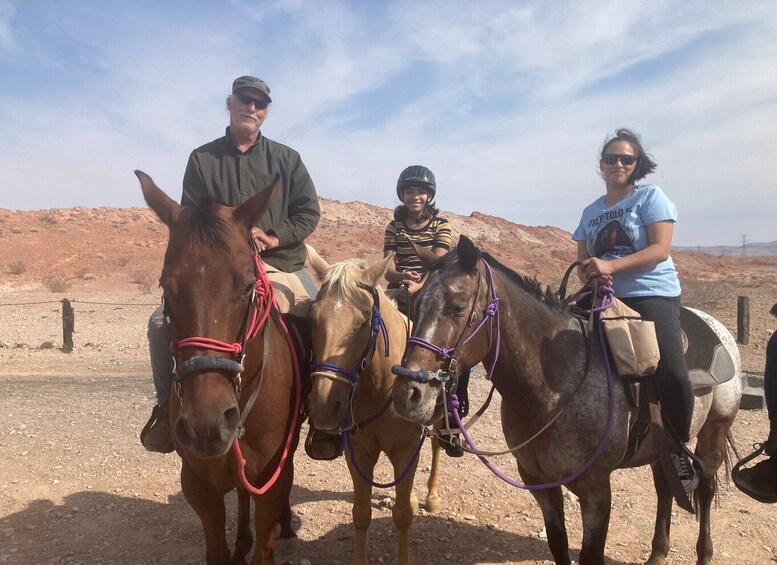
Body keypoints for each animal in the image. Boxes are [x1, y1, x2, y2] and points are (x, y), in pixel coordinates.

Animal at [133, 172, 304, 564]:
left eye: (247, 286)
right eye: (166, 285)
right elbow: (217, 550)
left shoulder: (273, 480)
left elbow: (264, 546)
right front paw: (237, 546)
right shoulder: (198, 485)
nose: (206, 424)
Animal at [304, 248, 440, 564]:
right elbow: (361, 514)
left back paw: (431, 497)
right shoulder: (359, 453)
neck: (381, 388)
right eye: (313, 317)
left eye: (365, 321)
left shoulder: (406, 451)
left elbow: (402, 516)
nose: (324, 406)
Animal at [392, 236, 744, 564]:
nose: (407, 395)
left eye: (459, 306)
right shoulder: (540, 482)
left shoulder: (596, 491)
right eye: (413, 302)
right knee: (664, 486)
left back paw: (704, 554)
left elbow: (590, 555)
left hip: (714, 429)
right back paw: (657, 553)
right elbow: (558, 545)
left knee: (706, 488)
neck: (554, 387)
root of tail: (716, 326)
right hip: (662, 445)